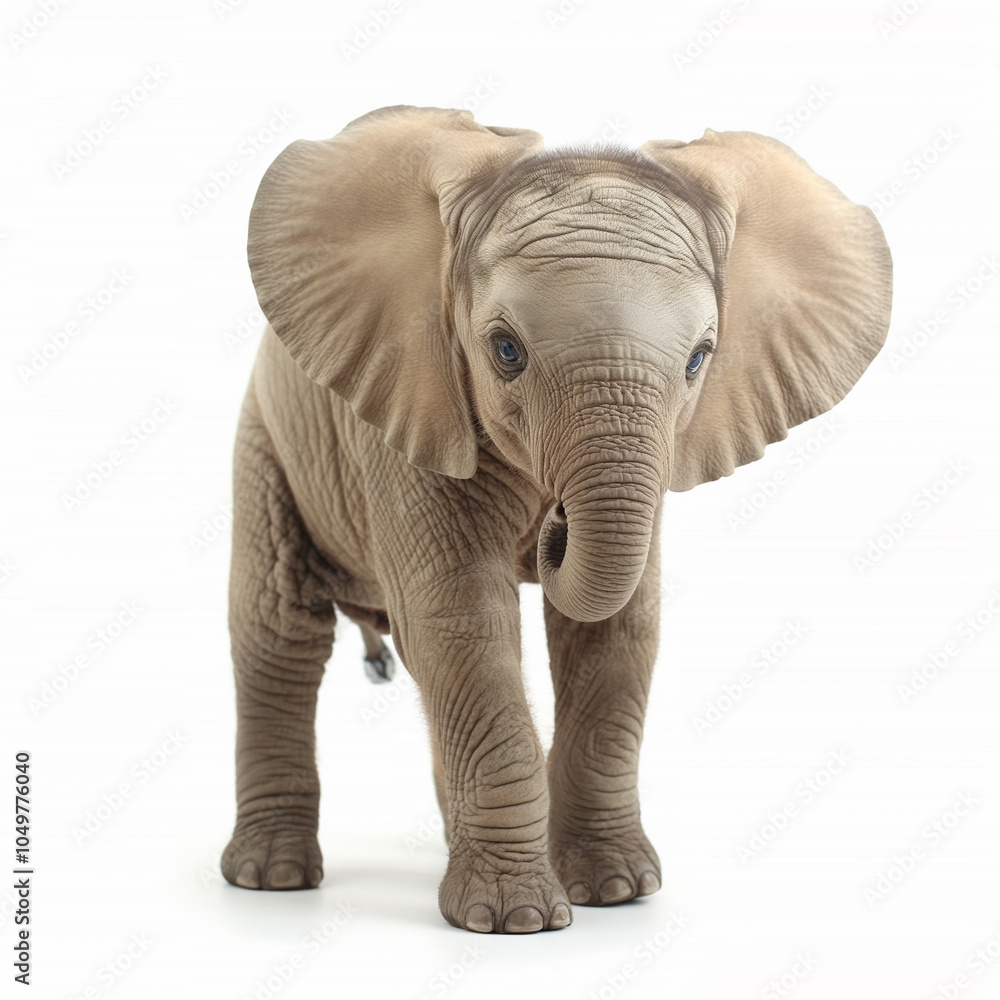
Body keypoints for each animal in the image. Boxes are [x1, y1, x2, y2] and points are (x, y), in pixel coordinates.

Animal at [220, 105, 892, 934]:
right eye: (505, 350)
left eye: (700, 358)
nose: (553, 524)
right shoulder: (410, 411)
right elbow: (462, 622)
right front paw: (518, 920)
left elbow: (618, 630)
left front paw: (617, 891)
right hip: (267, 444)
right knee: (279, 636)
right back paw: (271, 878)